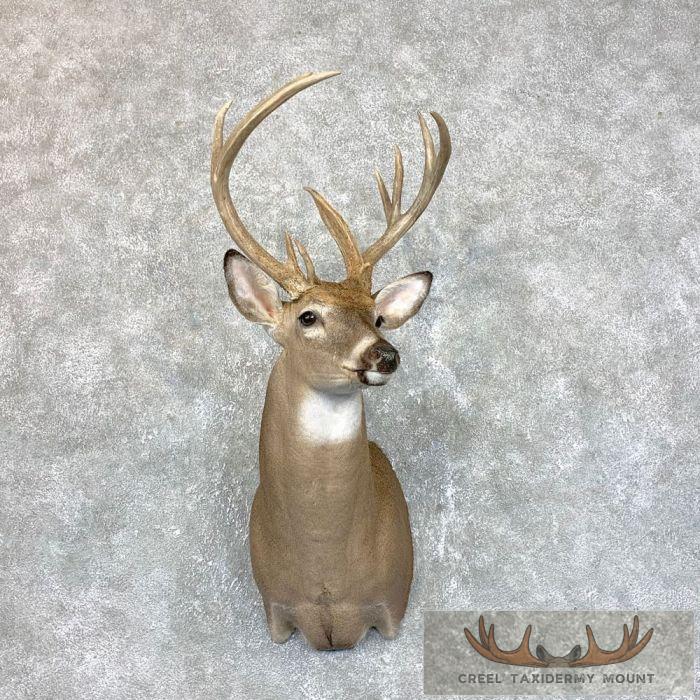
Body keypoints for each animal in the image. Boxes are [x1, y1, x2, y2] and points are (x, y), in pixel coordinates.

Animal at [211, 71, 451, 650]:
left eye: (378, 316)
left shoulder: (392, 607)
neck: (326, 571)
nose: (385, 354)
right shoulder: (276, 615)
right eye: (308, 316)